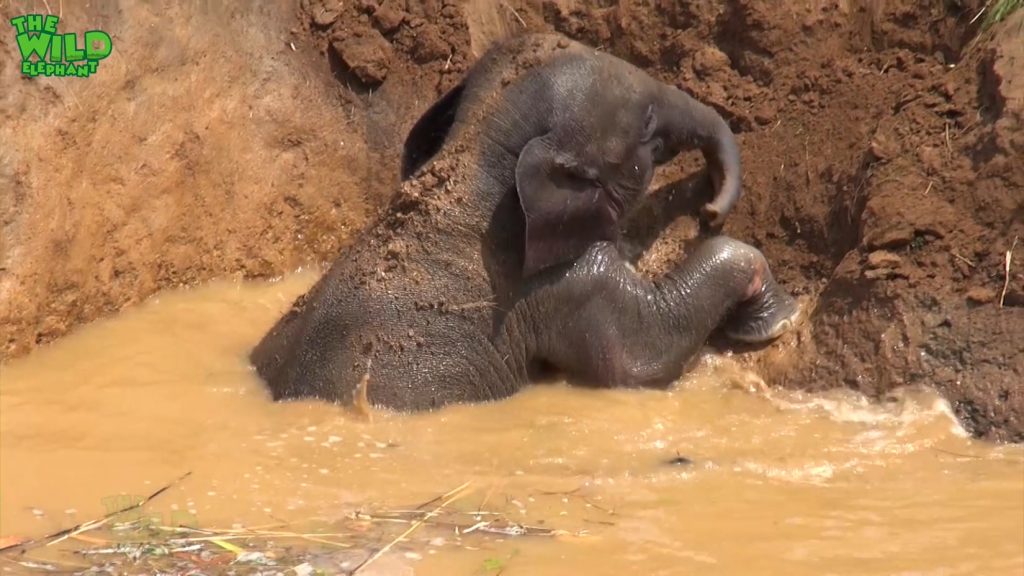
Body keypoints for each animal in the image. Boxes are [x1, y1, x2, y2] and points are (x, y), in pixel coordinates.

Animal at [249, 32, 798, 407]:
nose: (709, 210)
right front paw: (779, 320)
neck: (475, 152)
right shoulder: (556, 287)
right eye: (646, 125)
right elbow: (644, 354)